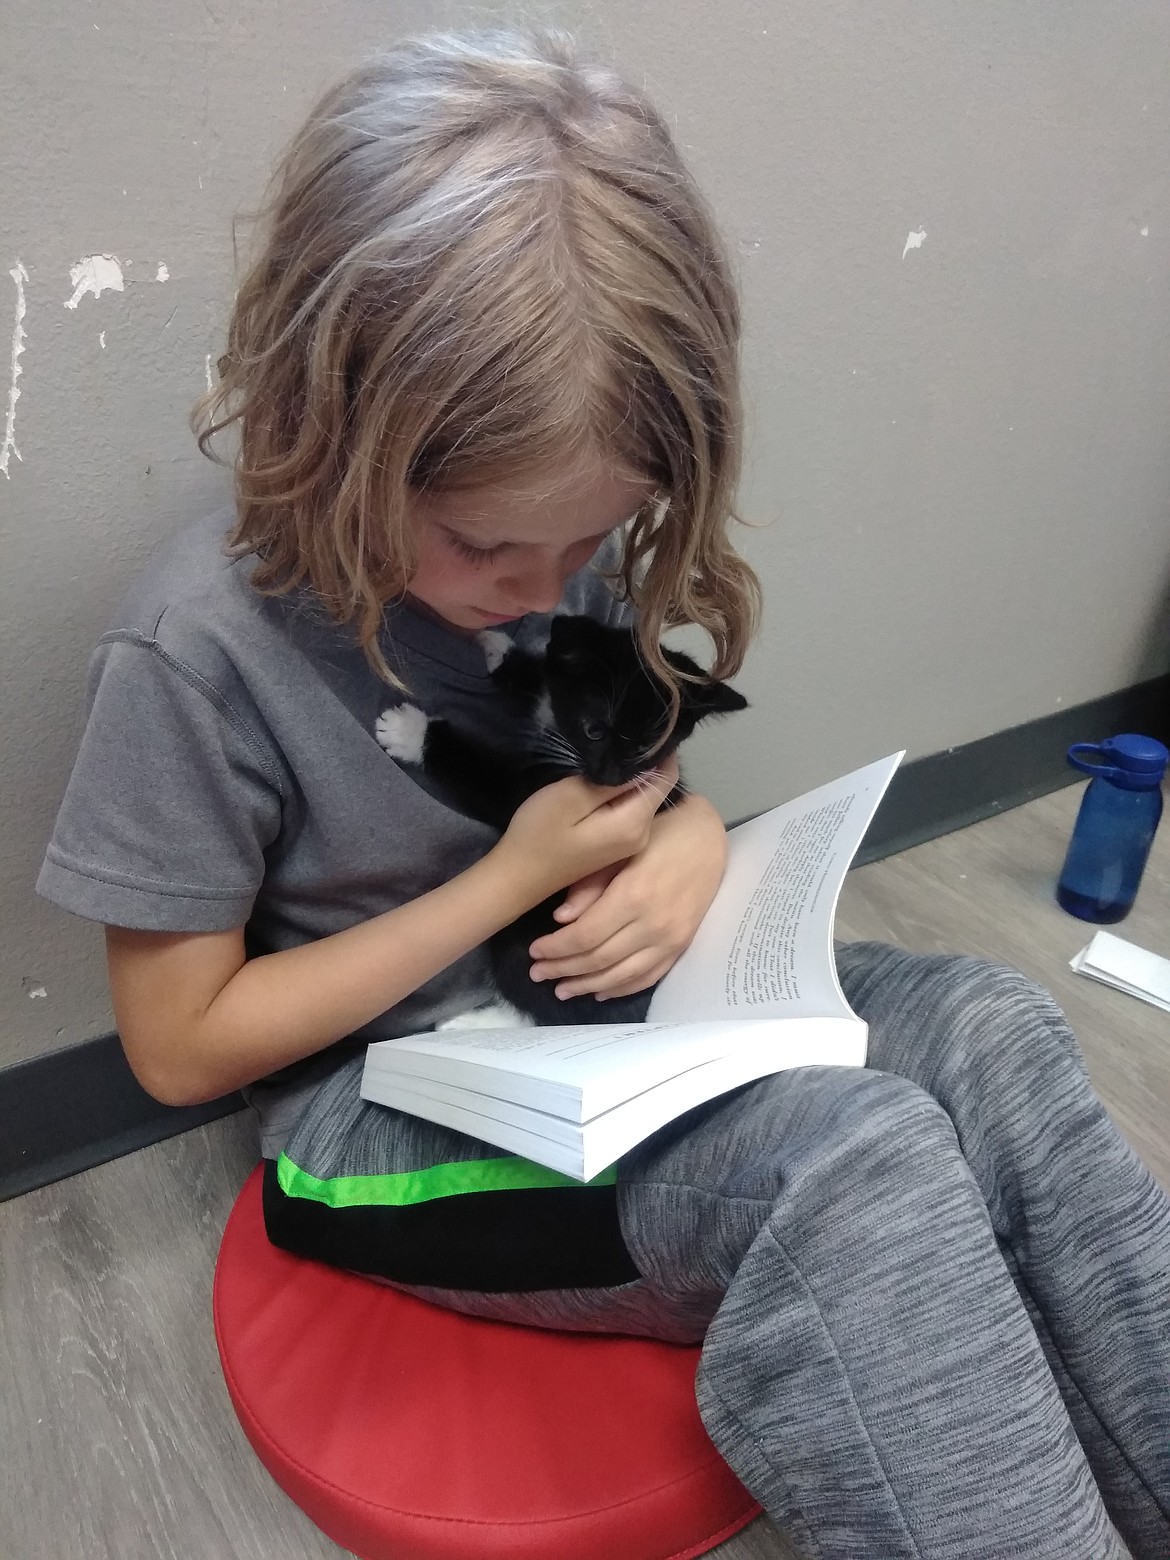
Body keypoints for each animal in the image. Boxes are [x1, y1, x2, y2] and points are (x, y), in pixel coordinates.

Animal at [380, 614, 755, 1029]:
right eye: (594, 730)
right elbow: (547, 672)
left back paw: (468, 1025)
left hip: (529, 936)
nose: (607, 776)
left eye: (646, 748)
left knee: (546, 1006)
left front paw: (411, 732)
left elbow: (488, 779)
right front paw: (500, 650)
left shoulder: (530, 793)